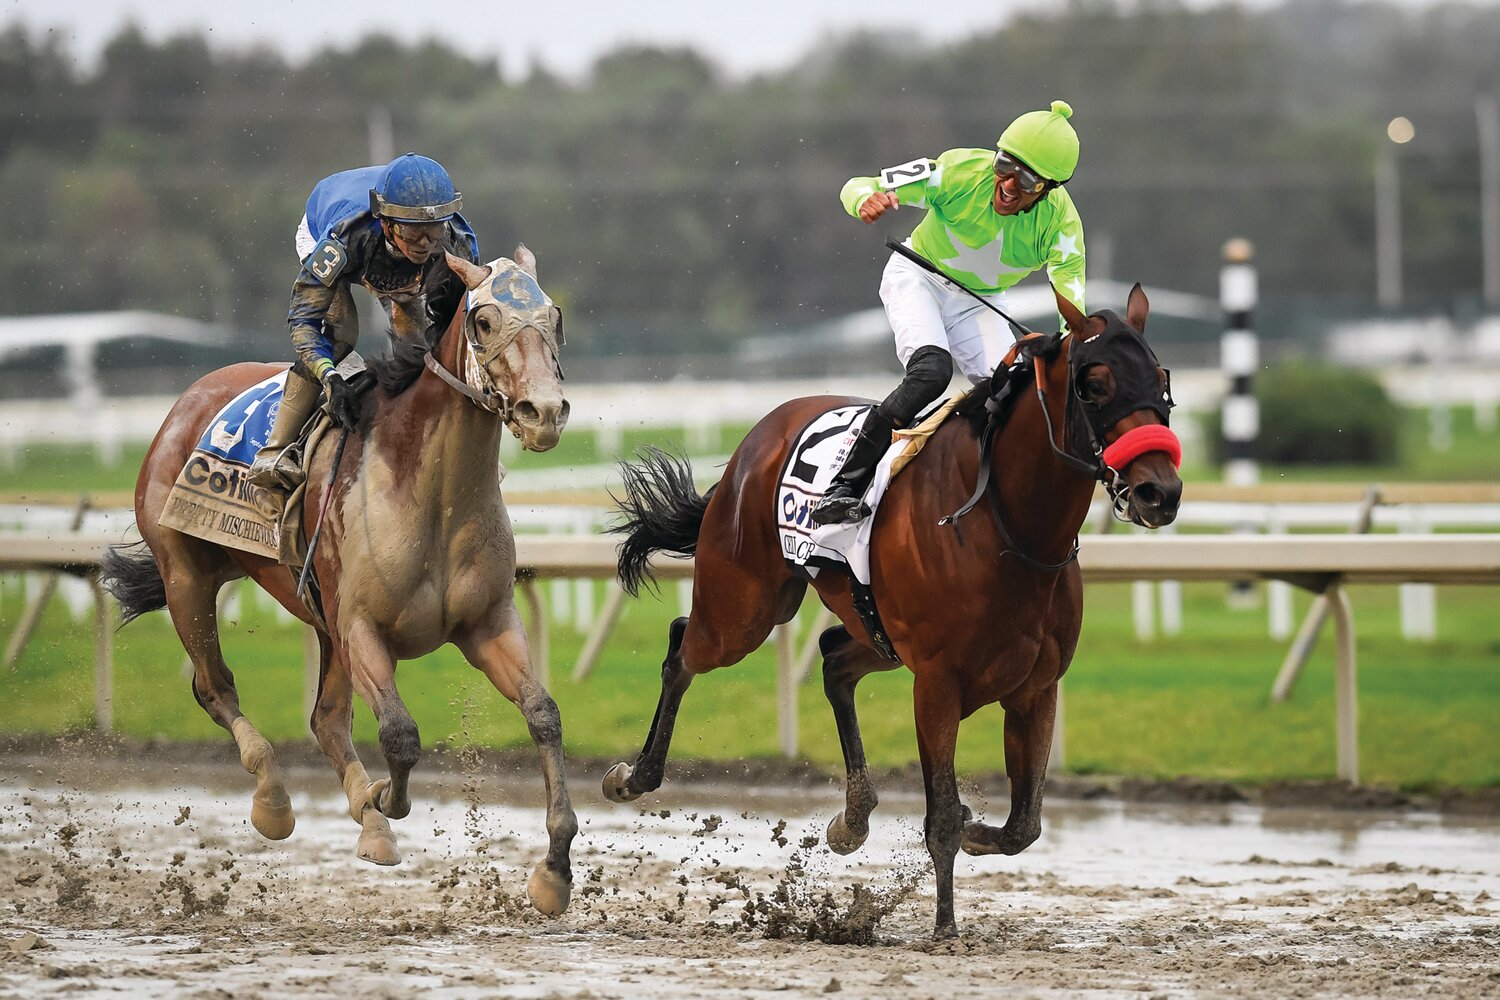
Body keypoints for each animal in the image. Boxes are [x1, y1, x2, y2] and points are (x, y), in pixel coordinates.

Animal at [101, 248, 579, 917]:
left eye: (553, 317)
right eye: (484, 321)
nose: (545, 413)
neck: (432, 496)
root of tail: (187, 400)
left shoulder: (486, 624)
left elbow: (543, 713)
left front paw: (554, 868)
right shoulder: (363, 629)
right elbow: (401, 735)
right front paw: (384, 798)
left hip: (318, 617)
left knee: (325, 719)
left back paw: (366, 822)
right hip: (187, 577)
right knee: (214, 687)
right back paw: (274, 800)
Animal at [600, 283, 1182, 941]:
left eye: (1160, 379)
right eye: (1094, 385)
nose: (1161, 492)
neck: (1009, 526)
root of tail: (756, 439)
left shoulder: (1036, 686)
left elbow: (1023, 824)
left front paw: (976, 829)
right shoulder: (937, 683)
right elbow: (942, 817)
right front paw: (945, 926)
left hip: (873, 630)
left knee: (833, 660)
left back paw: (851, 819)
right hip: (743, 610)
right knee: (683, 647)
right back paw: (634, 776)